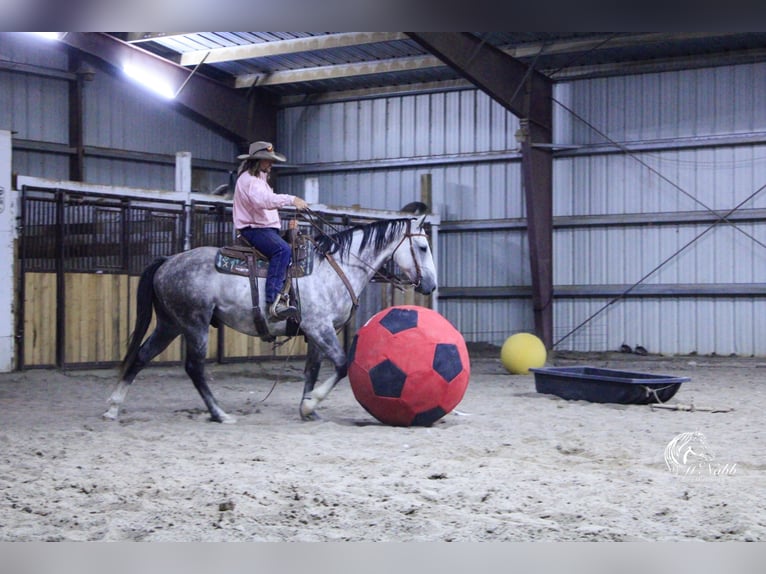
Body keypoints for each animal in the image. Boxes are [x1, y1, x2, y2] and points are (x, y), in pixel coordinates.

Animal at [103, 215, 438, 424]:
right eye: (422, 247)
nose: (432, 286)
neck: (335, 268)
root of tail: (168, 260)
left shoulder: (316, 332)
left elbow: (312, 370)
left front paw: (309, 410)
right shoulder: (320, 328)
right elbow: (343, 365)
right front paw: (311, 403)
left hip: (170, 324)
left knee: (142, 355)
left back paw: (113, 408)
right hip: (195, 324)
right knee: (194, 368)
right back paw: (220, 414)